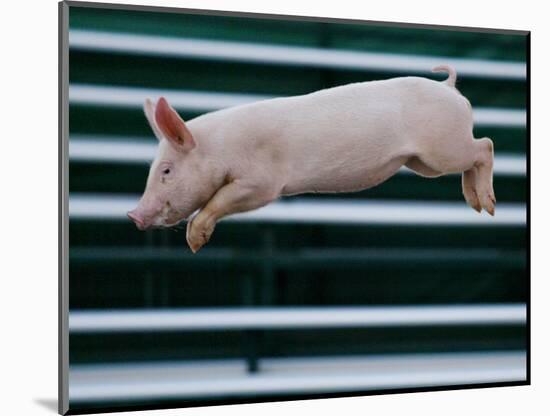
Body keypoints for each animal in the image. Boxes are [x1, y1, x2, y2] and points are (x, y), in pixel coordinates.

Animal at [128, 66, 496, 254]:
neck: (220, 148)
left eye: (166, 170)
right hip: (425, 162)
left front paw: (193, 242)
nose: (134, 215)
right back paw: (475, 205)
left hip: (443, 149)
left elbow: (219, 199)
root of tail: (447, 86)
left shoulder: (262, 183)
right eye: (151, 169)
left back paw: (488, 207)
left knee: (486, 145)